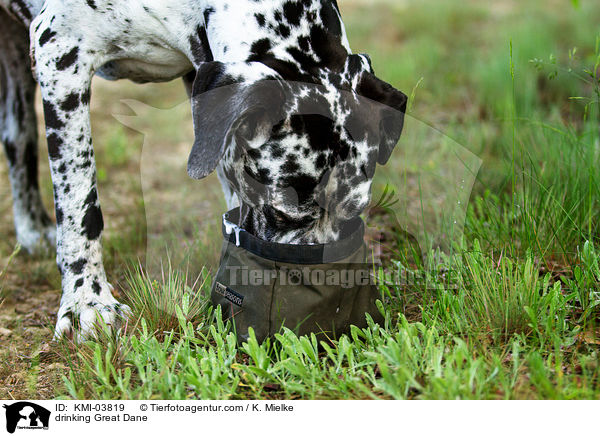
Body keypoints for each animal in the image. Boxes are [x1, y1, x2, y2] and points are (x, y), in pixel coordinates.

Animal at [0, 0, 406, 340]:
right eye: (282, 212)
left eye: (354, 212)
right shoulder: (61, 51)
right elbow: (80, 202)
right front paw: (87, 301)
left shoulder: (201, 77)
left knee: (18, 137)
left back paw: (32, 229)